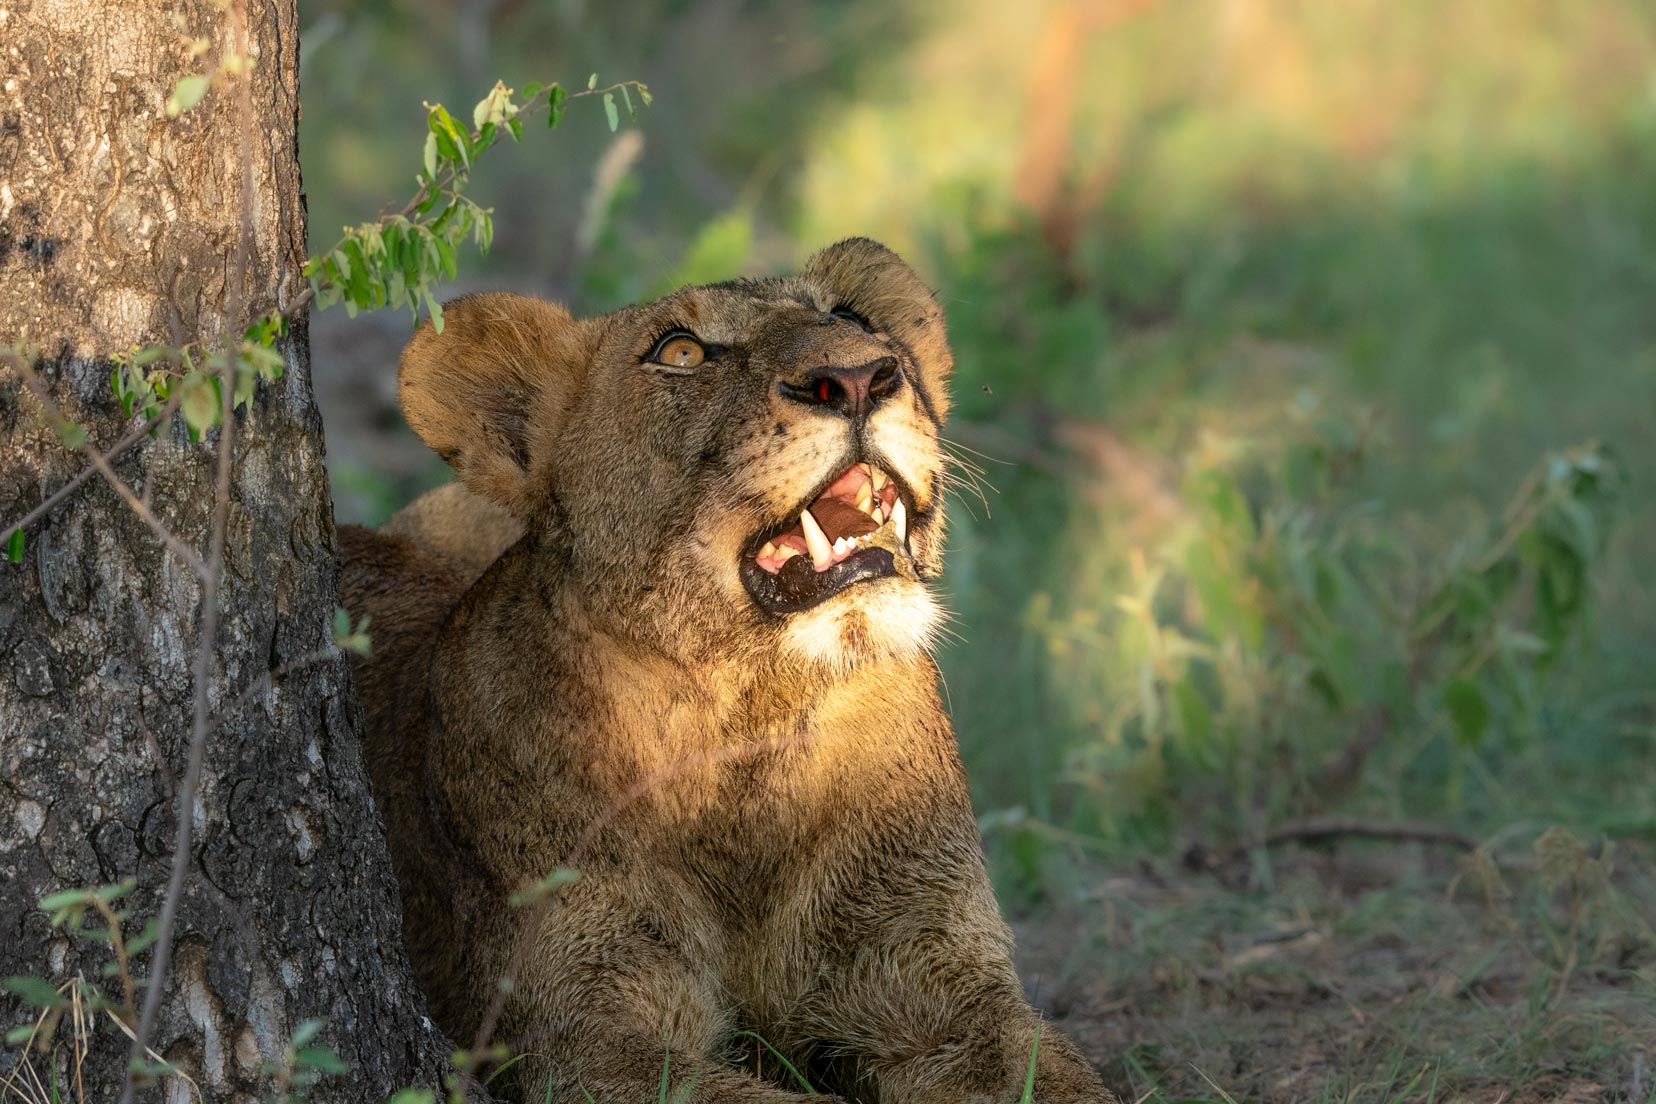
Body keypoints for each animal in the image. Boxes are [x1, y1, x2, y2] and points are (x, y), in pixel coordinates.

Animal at [339, 238, 1112, 1099]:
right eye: (680, 353)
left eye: (852, 318)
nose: (857, 377)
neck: (747, 718)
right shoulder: (586, 1041)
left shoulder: (947, 984)